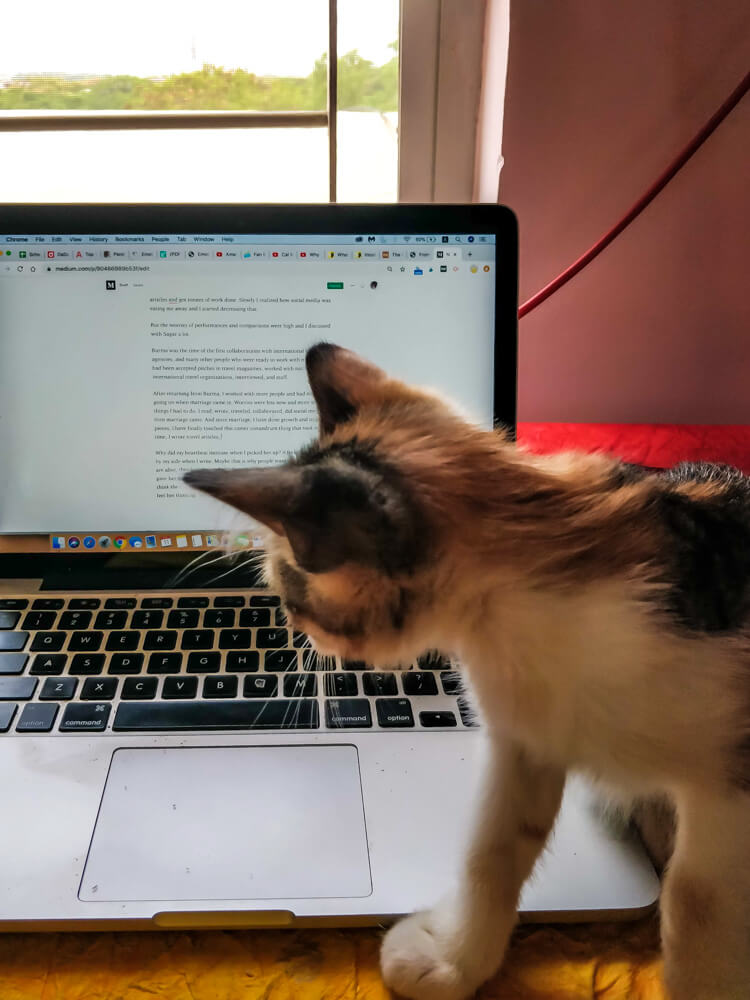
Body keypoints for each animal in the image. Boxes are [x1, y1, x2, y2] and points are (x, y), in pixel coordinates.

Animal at [184, 340, 750, 996]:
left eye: (289, 590)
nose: (292, 630)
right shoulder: (524, 741)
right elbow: (491, 853)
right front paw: (456, 963)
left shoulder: (727, 798)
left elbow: (695, 905)